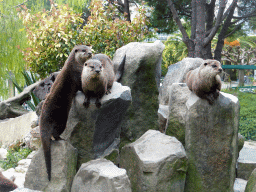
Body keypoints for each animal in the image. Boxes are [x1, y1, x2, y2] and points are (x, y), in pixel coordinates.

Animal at [39, 44, 92, 180]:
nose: (90, 53)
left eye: (90, 48)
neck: (74, 64)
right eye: (84, 50)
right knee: (55, 133)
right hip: (62, 120)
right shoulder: (77, 74)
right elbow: (82, 87)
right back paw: (62, 139)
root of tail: (43, 117)